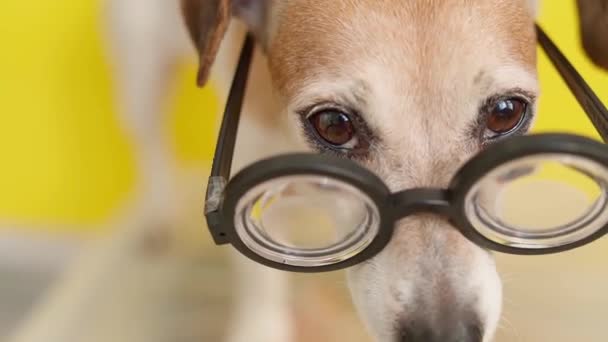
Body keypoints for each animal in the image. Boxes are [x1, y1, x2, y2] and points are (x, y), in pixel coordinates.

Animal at [104, 0, 608, 342]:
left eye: (505, 113)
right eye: (333, 124)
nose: (445, 333)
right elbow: (258, 278)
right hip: (140, 74)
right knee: (148, 141)